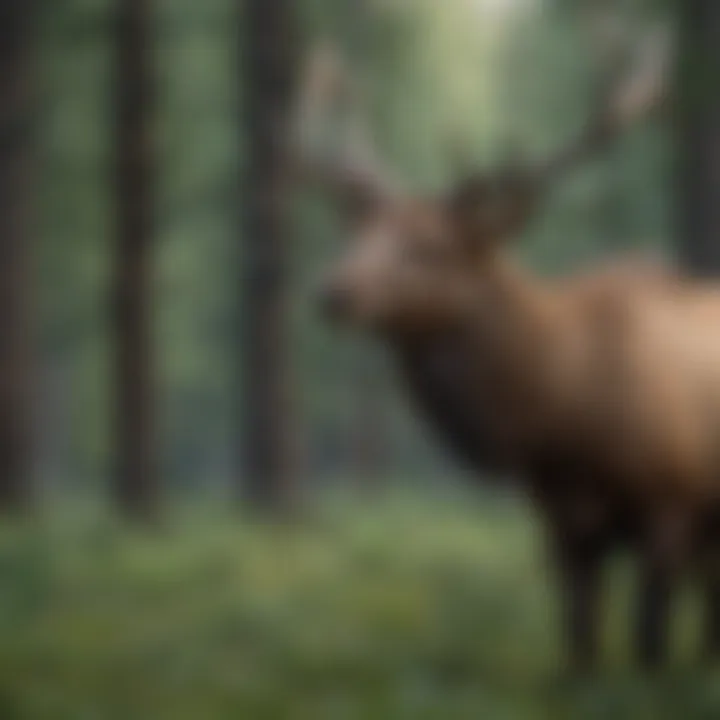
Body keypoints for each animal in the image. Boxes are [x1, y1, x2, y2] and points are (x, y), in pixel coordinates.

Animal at [292, 29, 720, 668]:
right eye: (359, 234)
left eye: (431, 247)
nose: (335, 291)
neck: (565, 419)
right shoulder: (562, 524)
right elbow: (580, 643)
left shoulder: (671, 508)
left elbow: (650, 644)